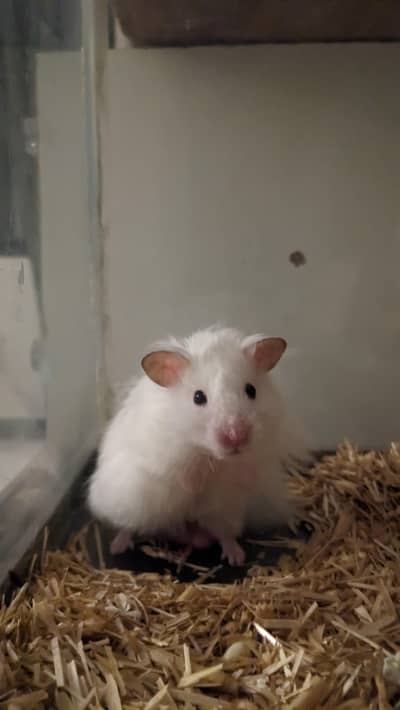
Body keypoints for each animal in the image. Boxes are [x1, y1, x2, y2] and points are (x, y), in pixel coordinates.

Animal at [88, 326, 307, 565]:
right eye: (198, 397)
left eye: (251, 390)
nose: (236, 437)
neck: (205, 451)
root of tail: (184, 532)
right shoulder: (164, 456)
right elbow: (181, 475)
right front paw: (194, 484)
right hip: (131, 505)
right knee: (129, 526)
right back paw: (117, 546)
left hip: (226, 512)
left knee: (224, 535)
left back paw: (235, 557)